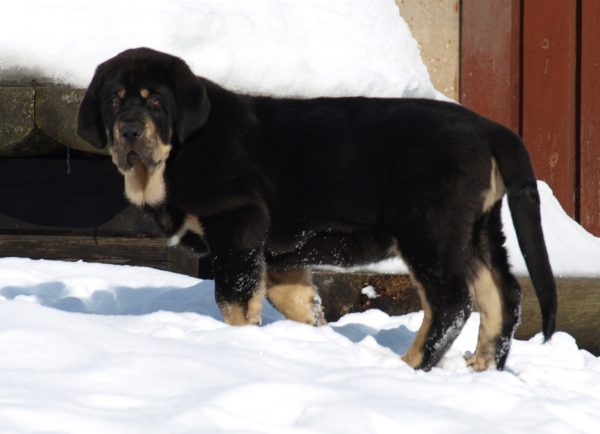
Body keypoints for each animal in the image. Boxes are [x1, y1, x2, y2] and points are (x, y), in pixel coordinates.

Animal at [78, 48, 556, 372]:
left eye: (155, 101)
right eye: (115, 100)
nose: (129, 131)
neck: (176, 154)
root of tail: (490, 128)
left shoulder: (236, 222)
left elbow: (233, 301)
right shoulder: (278, 253)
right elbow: (292, 299)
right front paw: (312, 337)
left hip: (427, 228)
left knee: (452, 303)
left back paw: (409, 366)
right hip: (475, 230)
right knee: (502, 296)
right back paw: (481, 368)